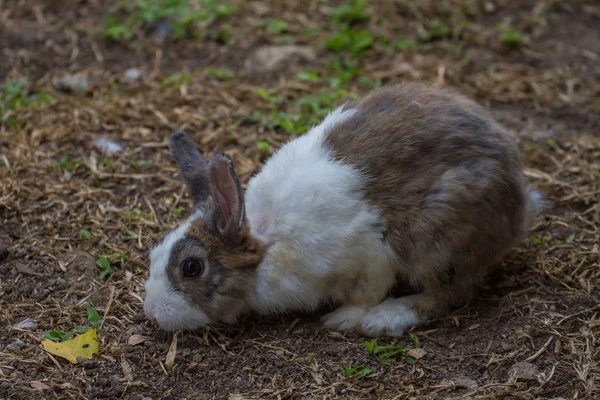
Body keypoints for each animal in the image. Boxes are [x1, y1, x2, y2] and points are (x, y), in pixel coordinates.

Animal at [144, 83, 544, 336]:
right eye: (154, 252)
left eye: (191, 267)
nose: (153, 312)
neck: (266, 244)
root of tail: (519, 206)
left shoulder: (370, 252)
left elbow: (366, 292)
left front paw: (344, 319)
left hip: (437, 238)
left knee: (446, 294)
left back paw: (386, 318)